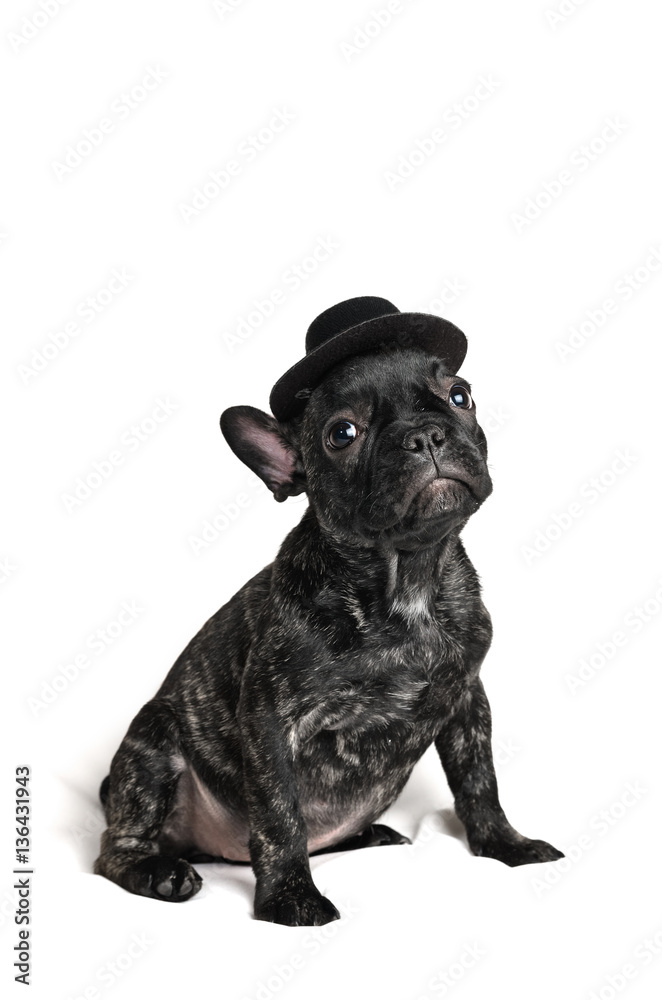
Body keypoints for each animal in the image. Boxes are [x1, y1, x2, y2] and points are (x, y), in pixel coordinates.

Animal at [96, 298, 564, 928]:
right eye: (342, 434)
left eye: (460, 395)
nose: (424, 434)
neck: (409, 577)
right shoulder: (270, 719)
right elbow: (279, 816)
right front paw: (291, 897)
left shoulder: (468, 700)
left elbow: (479, 781)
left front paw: (505, 845)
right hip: (153, 744)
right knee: (116, 847)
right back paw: (156, 871)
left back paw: (369, 835)